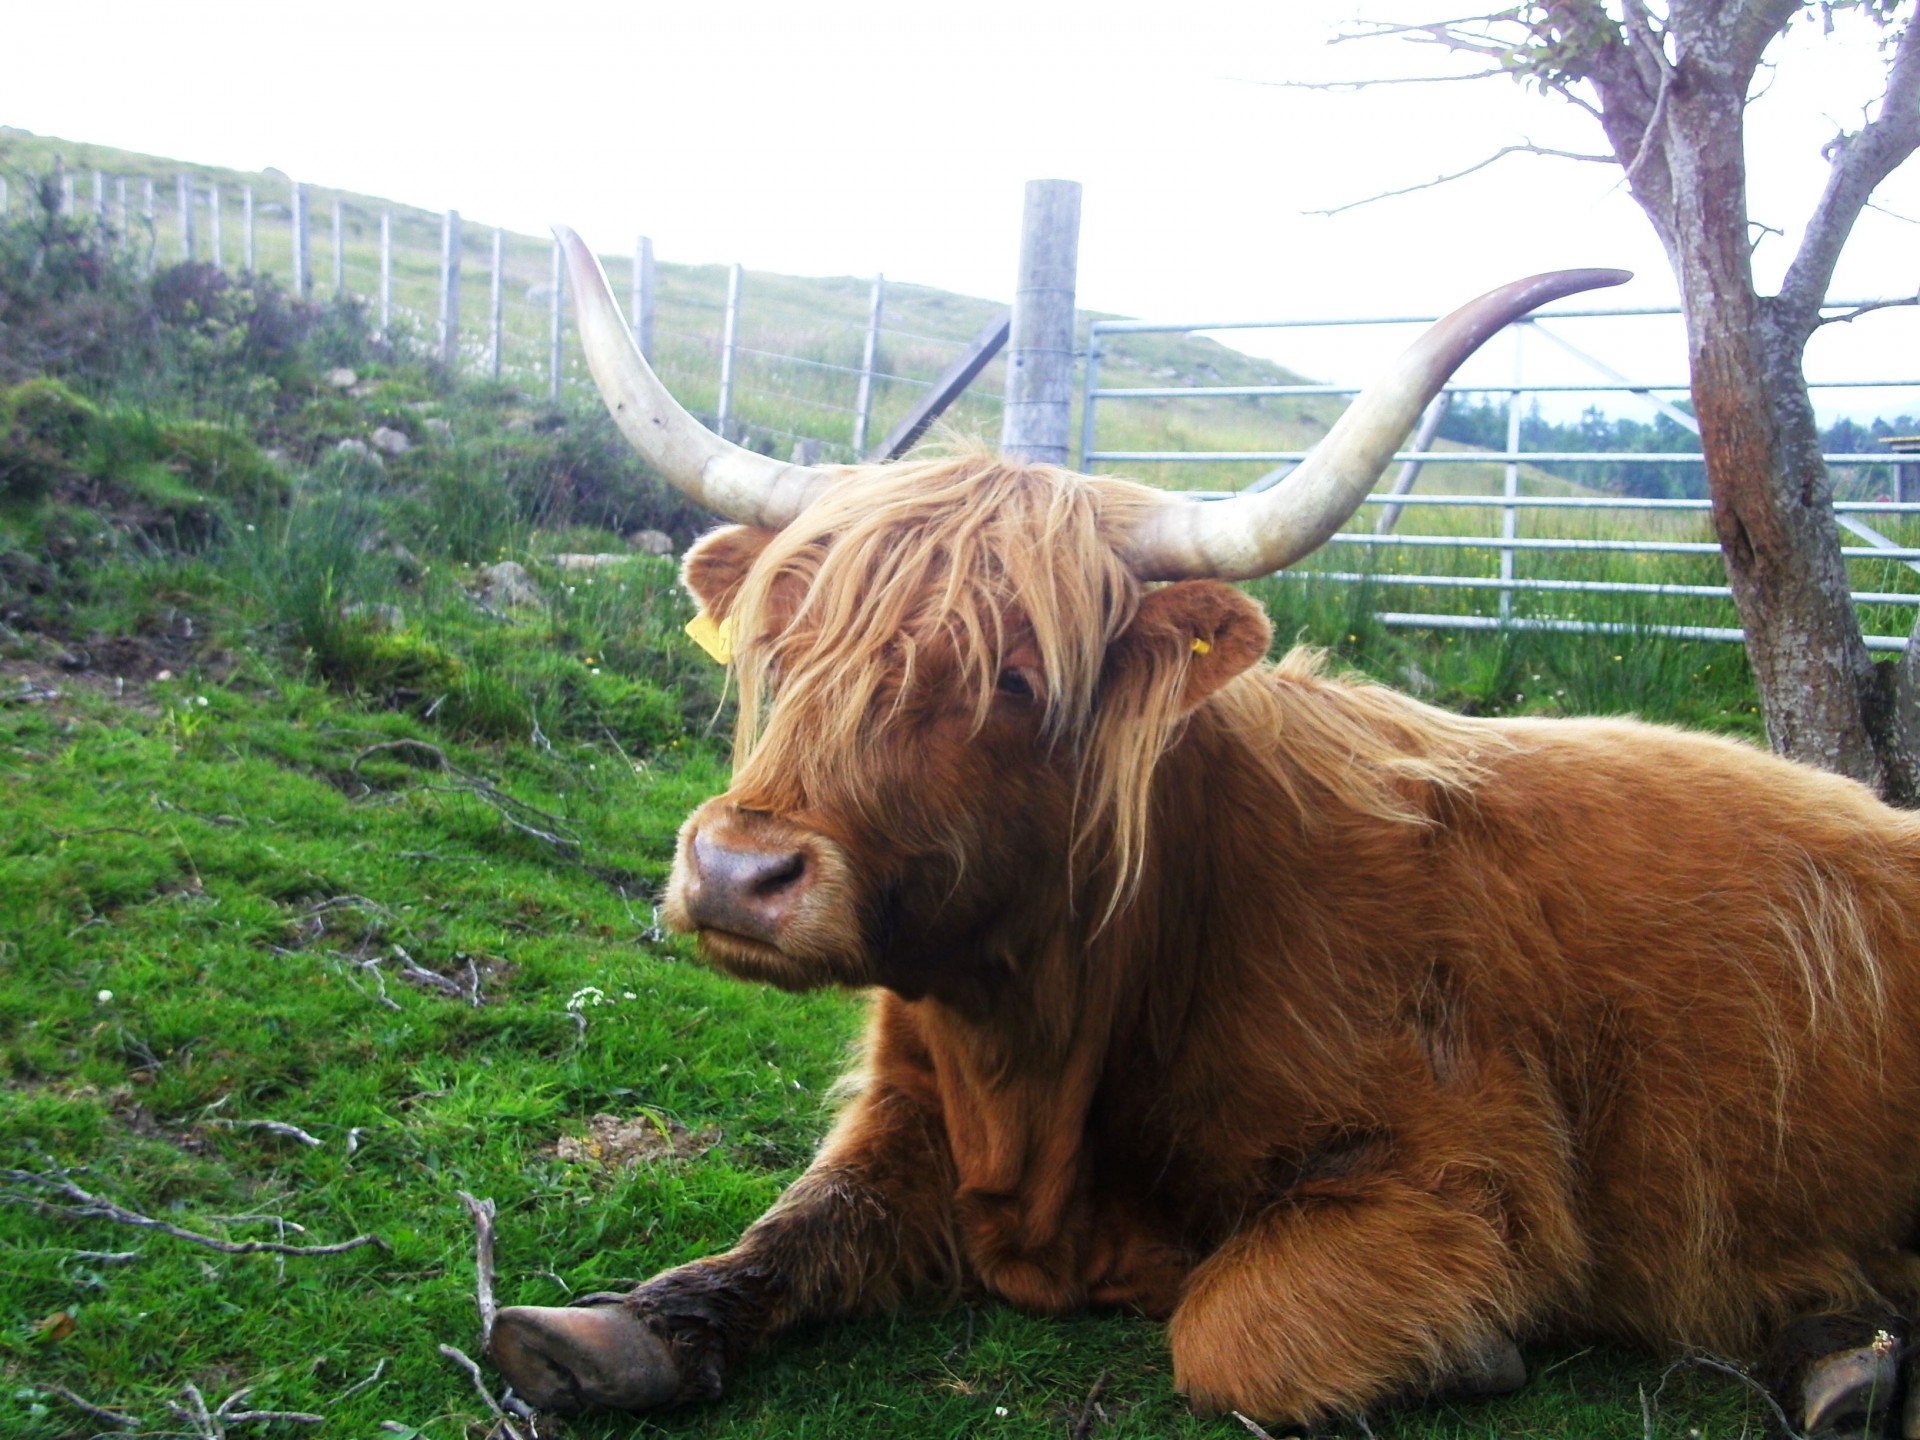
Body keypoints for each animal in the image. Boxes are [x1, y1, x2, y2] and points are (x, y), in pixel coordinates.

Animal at [487, 231, 1920, 1436]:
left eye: (1019, 679)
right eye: (785, 645)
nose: (739, 872)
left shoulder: (1467, 1171)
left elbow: (1236, 1333)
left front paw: (1468, 1351)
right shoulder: (905, 1117)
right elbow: (791, 1225)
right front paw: (608, 1330)